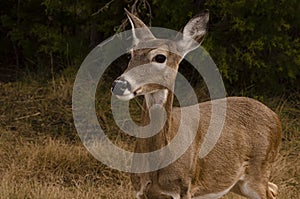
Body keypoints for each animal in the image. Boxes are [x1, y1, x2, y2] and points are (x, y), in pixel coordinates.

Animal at [110, 9, 282, 199]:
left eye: (160, 57)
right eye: (130, 54)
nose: (119, 85)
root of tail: (275, 117)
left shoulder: (184, 186)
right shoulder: (139, 189)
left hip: (259, 168)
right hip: (238, 182)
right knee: (274, 188)